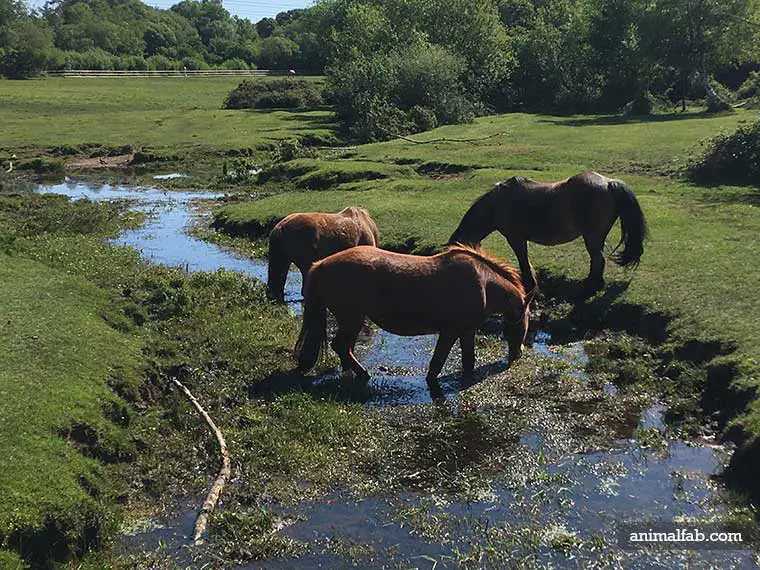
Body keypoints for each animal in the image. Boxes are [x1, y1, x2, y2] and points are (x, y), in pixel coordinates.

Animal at [292, 245, 536, 400]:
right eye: (526, 322)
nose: (517, 354)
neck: (483, 283)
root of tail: (320, 265)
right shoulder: (450, 332)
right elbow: (437, 363)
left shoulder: (466, 332)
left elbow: (468, 361)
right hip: (352, 319)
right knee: (342, 346)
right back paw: (363, 374)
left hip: (351, 320)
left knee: (345, 348)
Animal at [446, 170, 648, 296]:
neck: (497, 204)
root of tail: (608, 183)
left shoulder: (515, 237)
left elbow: (523, 260)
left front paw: (529, 286)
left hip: (591, 237)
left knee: (598, 260)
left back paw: (588, 288)